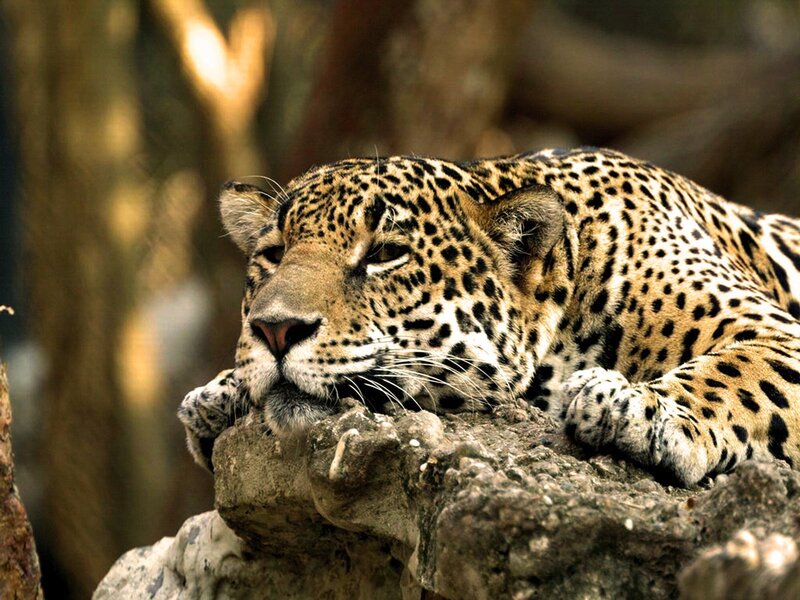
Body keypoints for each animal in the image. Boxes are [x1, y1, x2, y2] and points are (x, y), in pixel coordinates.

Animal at [179, 147, 800, 486]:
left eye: (385, 253)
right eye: (274, 254)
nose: (275, 329)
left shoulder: (774, 332)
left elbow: (732, 374)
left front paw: (637, 408)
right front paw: (220, 391)